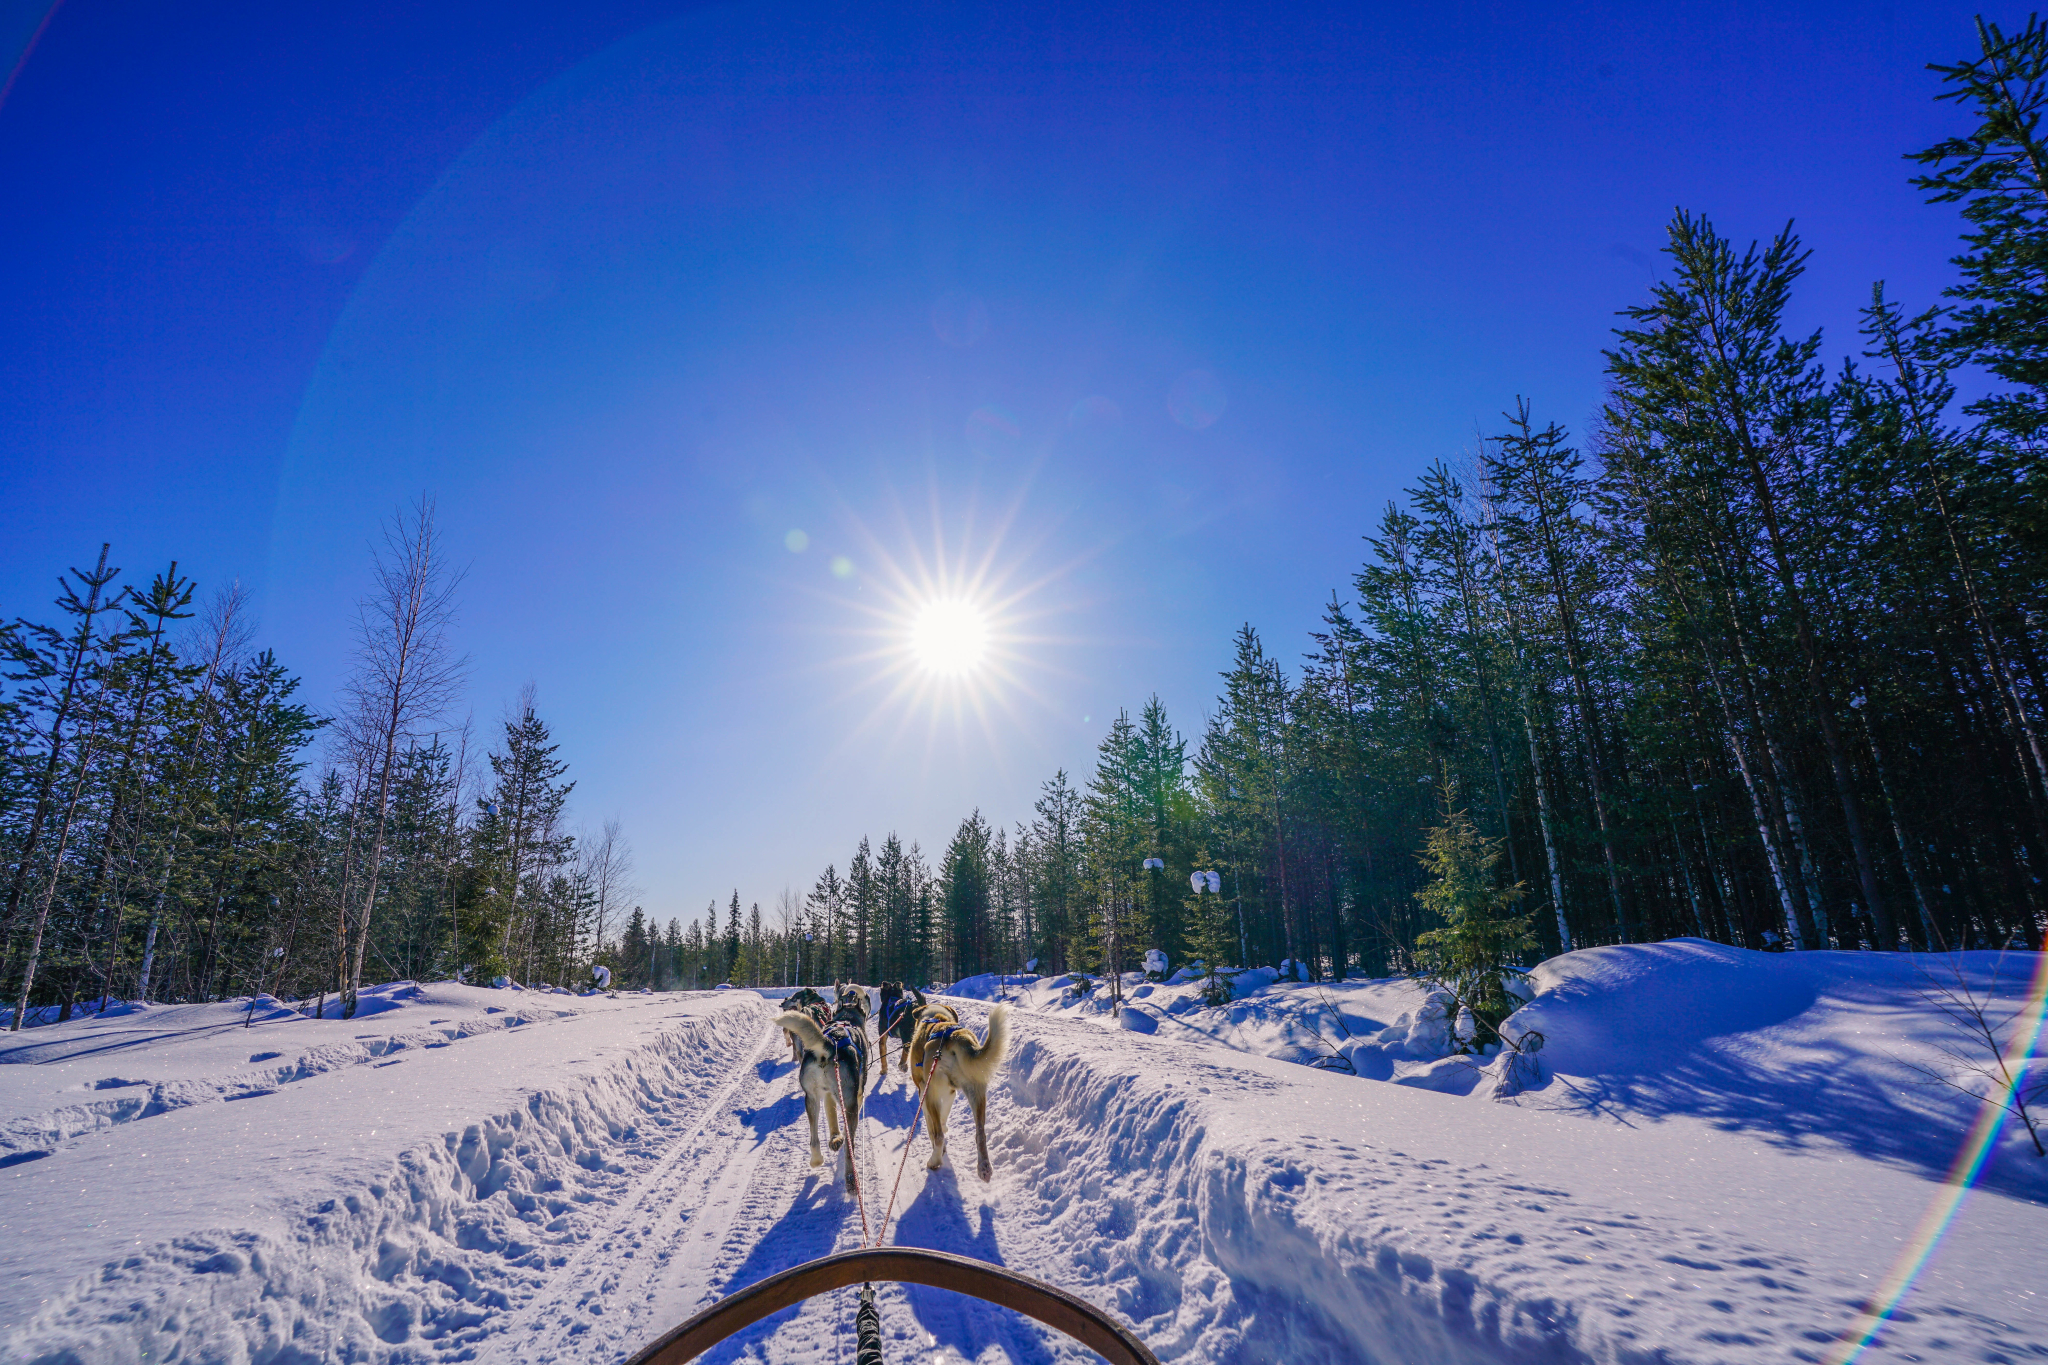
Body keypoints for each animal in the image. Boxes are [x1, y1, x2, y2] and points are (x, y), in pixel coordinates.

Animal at [770, 1010, 864, 1186]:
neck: (847, 1018)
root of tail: (831, 1044)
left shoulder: (827, 1094)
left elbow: (831, 1115)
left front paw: (835, 1137)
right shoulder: (855, 1096)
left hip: (811, 1099)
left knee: (814, 1139)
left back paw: (816, 1160)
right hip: (849, 1104)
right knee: (849, 1148)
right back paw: (851, 1180)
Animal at [909, 1002, 1011, 1186]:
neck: (937, 1017)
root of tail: (954, 1037)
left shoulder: (923, 1091)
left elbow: (933, 1127)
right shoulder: (951, 1092)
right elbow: (943, 1117)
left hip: (931, 1093)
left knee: (939, 1135)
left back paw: (934, 1161)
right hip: (976, 1092)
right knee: (980, 1134)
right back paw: (984, 1168)